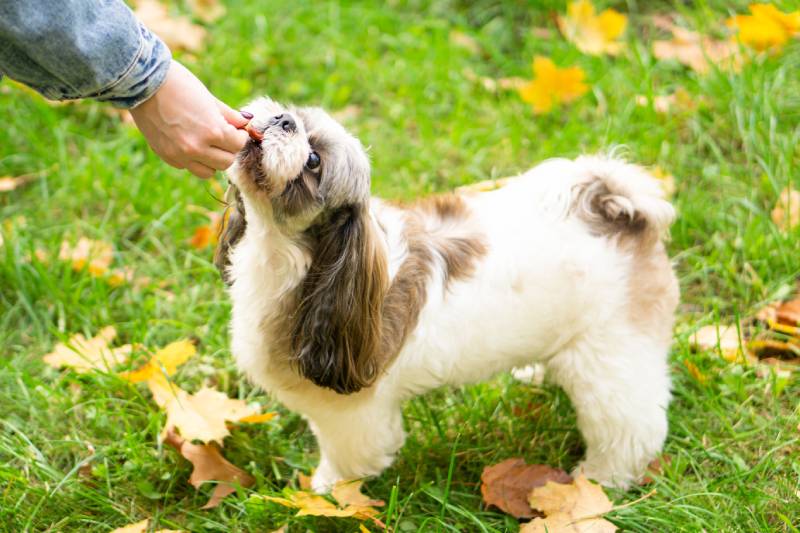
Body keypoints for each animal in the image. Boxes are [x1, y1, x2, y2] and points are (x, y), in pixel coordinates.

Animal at [216, 98, 680, 490]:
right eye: (292, 113)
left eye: (313, 161)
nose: (283, 120)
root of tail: (620, 216)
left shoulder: (355, 417)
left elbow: (348, 462)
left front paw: (326, 492)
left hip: (611, 356)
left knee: (631, 427)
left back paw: (600, 479)